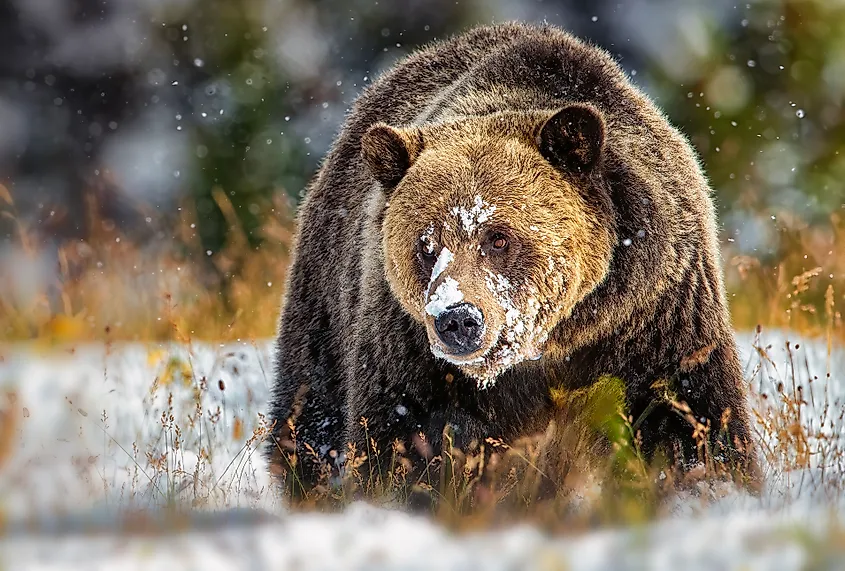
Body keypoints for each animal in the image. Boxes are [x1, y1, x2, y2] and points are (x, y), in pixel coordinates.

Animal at [265, 22, 759, 497]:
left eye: (498, 238)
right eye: (426, 244)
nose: (458, 319)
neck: (547, 345)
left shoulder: (653, 313)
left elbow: (689, 416)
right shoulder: (407, 345)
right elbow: (402, 434)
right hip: (327, 306)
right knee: (311, 414)